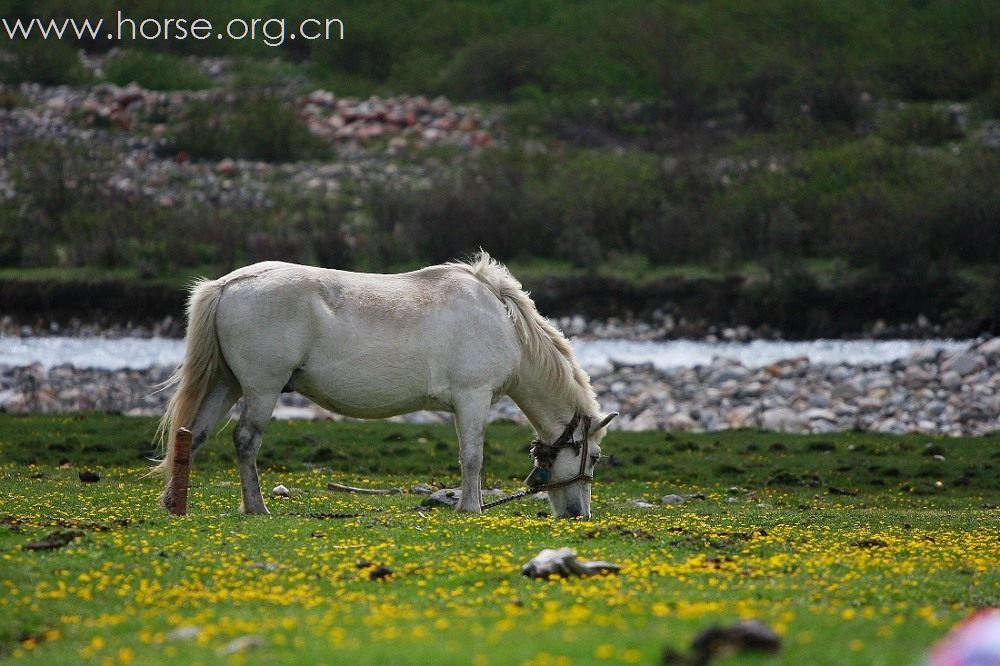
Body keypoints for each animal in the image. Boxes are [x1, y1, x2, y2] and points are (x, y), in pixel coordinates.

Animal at [154, 252, 616, 516]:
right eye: (593, 457)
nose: (580, 515)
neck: (503, 323)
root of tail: (227, 284)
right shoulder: (473, 398)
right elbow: (472, 458)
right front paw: (472, 509)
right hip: (260, 389)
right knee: (246, 441)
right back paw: (256, 507)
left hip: (226, 385)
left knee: (193, 435)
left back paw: (174, 502)